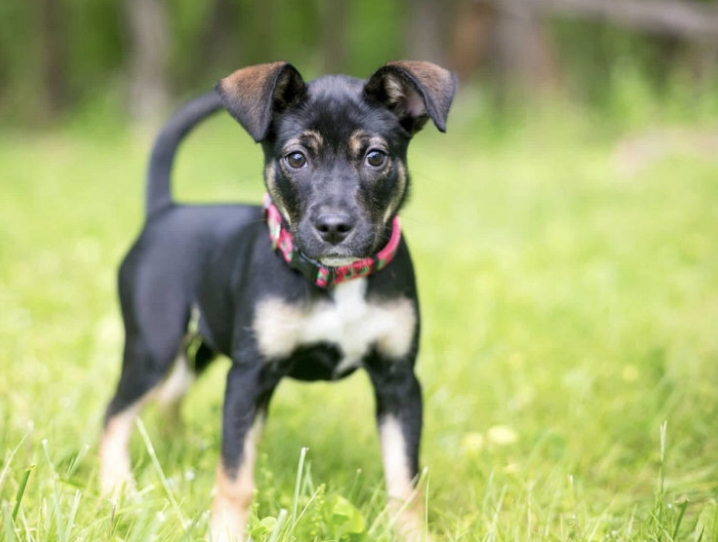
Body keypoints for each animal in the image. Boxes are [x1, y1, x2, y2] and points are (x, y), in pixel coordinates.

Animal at [99, 61, 458, 540]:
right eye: (296, 158)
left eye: (375, 157)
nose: (334, 227)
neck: (337, 280)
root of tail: (165, 211)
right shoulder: (249, 377)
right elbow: (235, 478)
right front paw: (225, 534)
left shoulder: (398, 380)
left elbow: (404, 481)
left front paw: (412, 533)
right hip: (153, 345)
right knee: (115, 415)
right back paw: (118, 491)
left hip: (203, 346)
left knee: (169, 395)